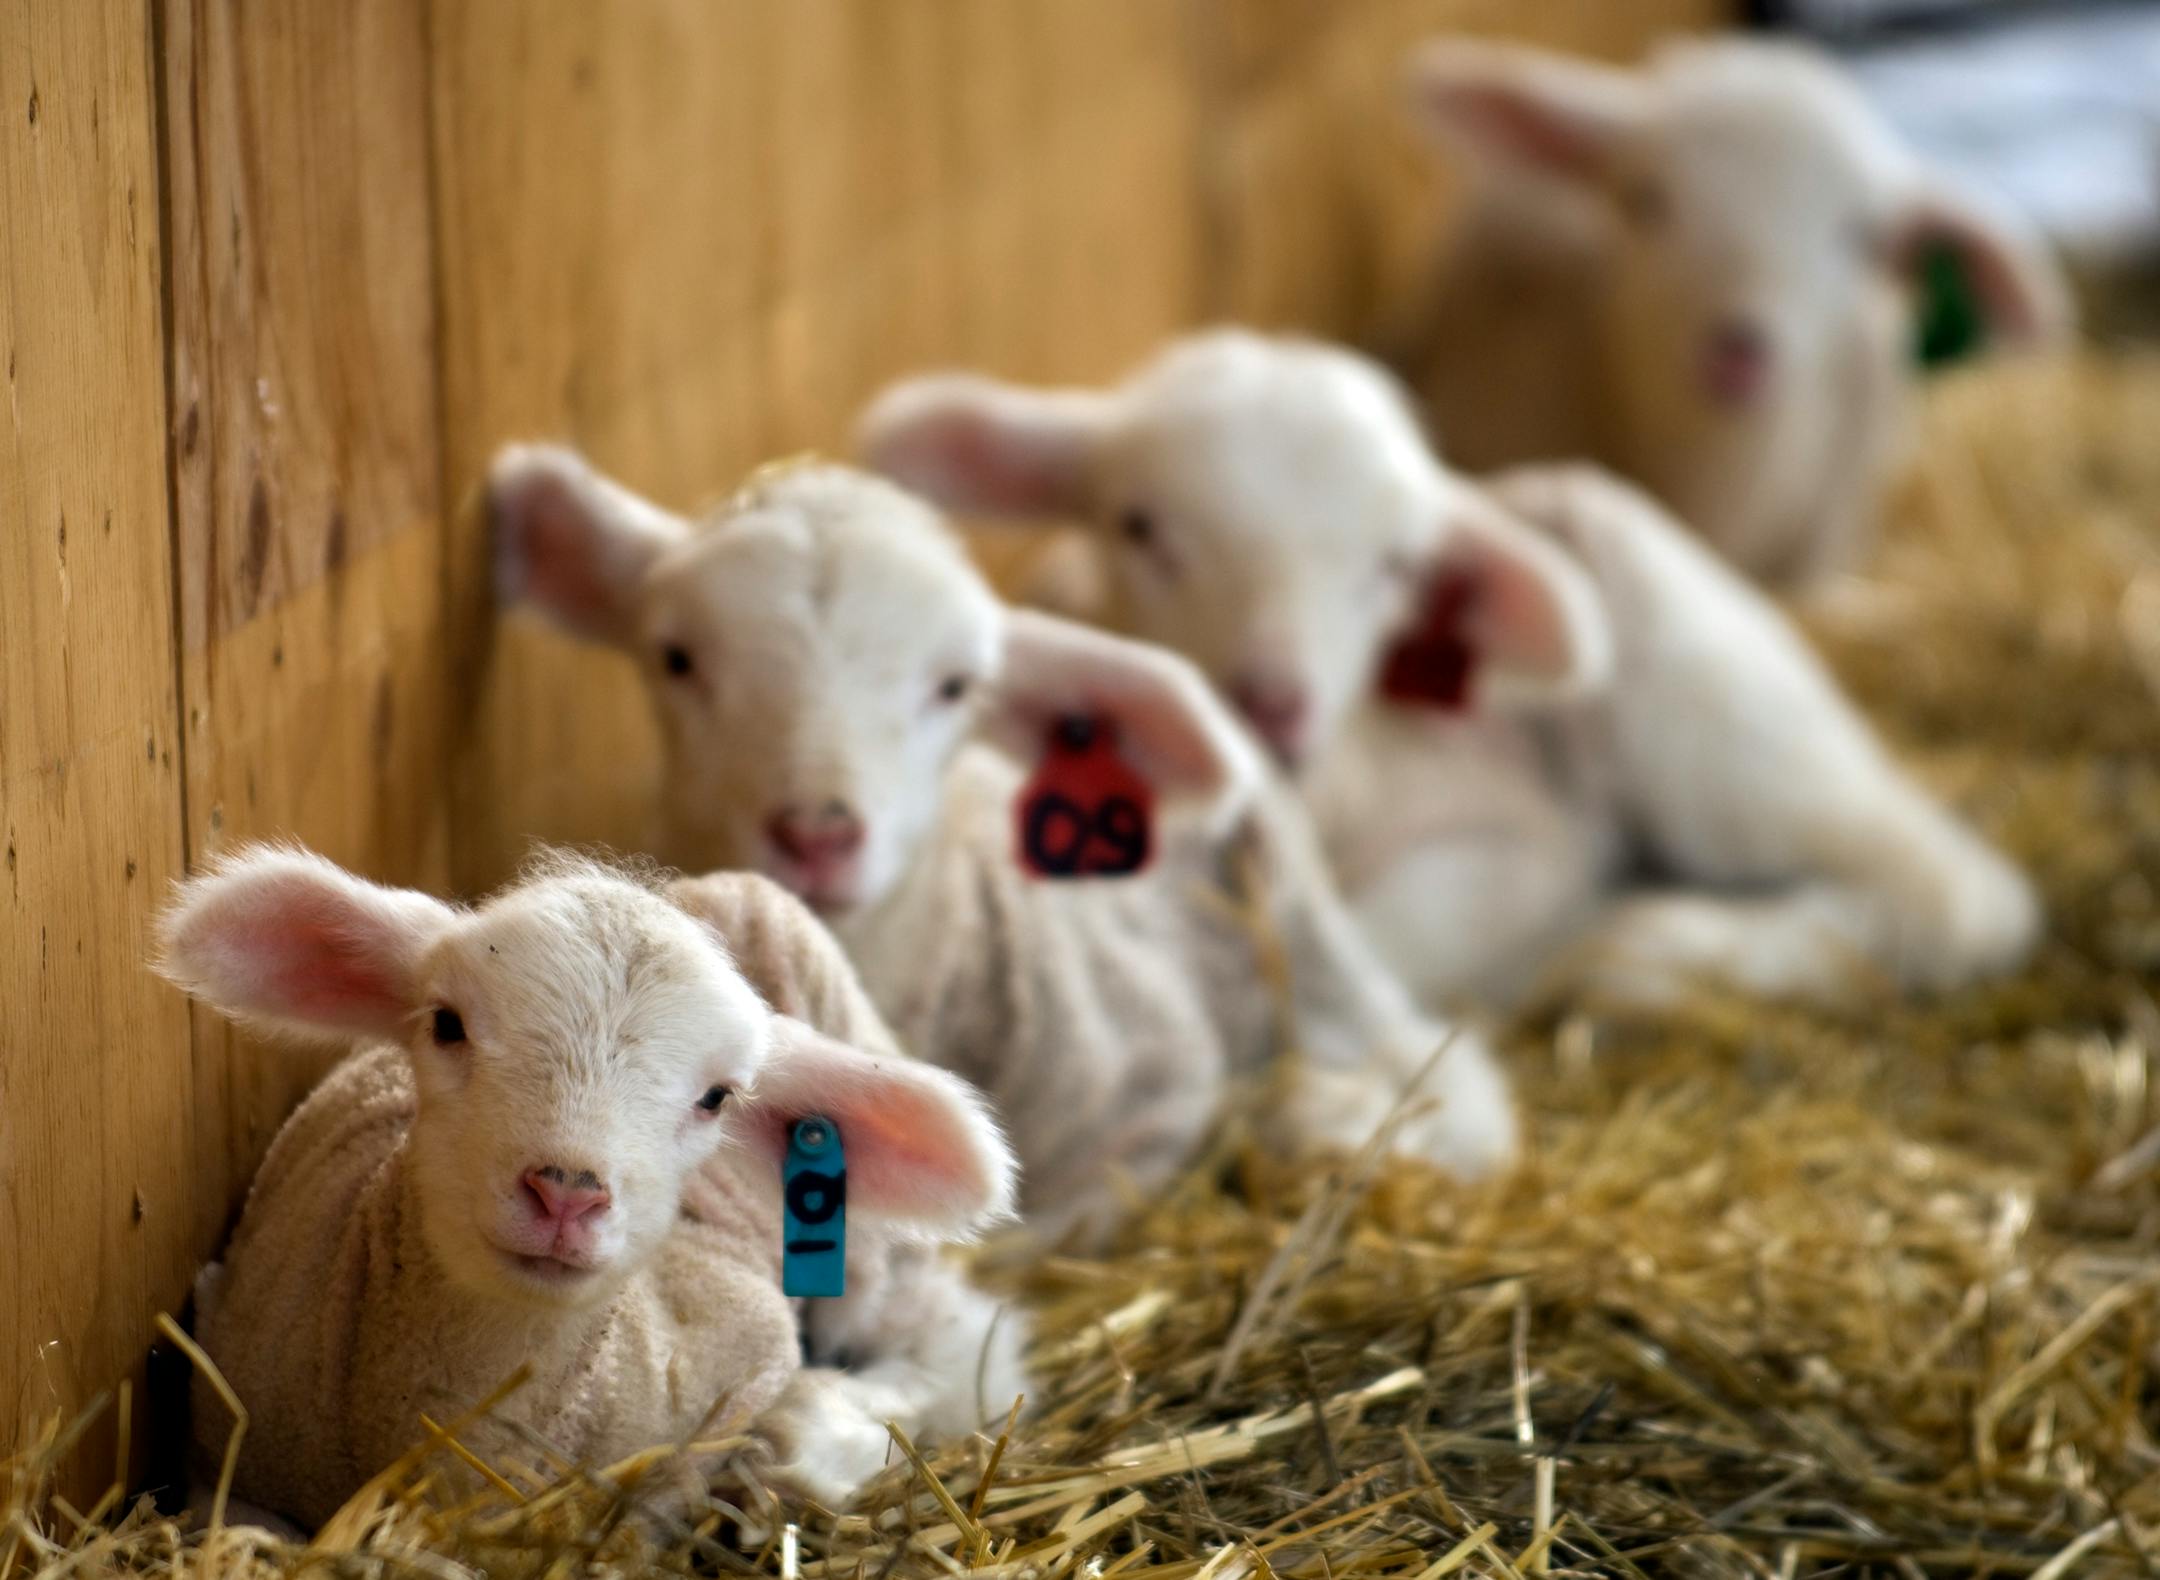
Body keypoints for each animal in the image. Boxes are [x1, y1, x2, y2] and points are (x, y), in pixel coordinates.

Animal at [859, 329, 2040, 1010]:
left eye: (1396, 568)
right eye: (1140, 526)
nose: (1273, 704)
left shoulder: (1525, 840)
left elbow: (1383, 942)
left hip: (1714, 718)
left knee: (1956, 889)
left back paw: (1662, 948)